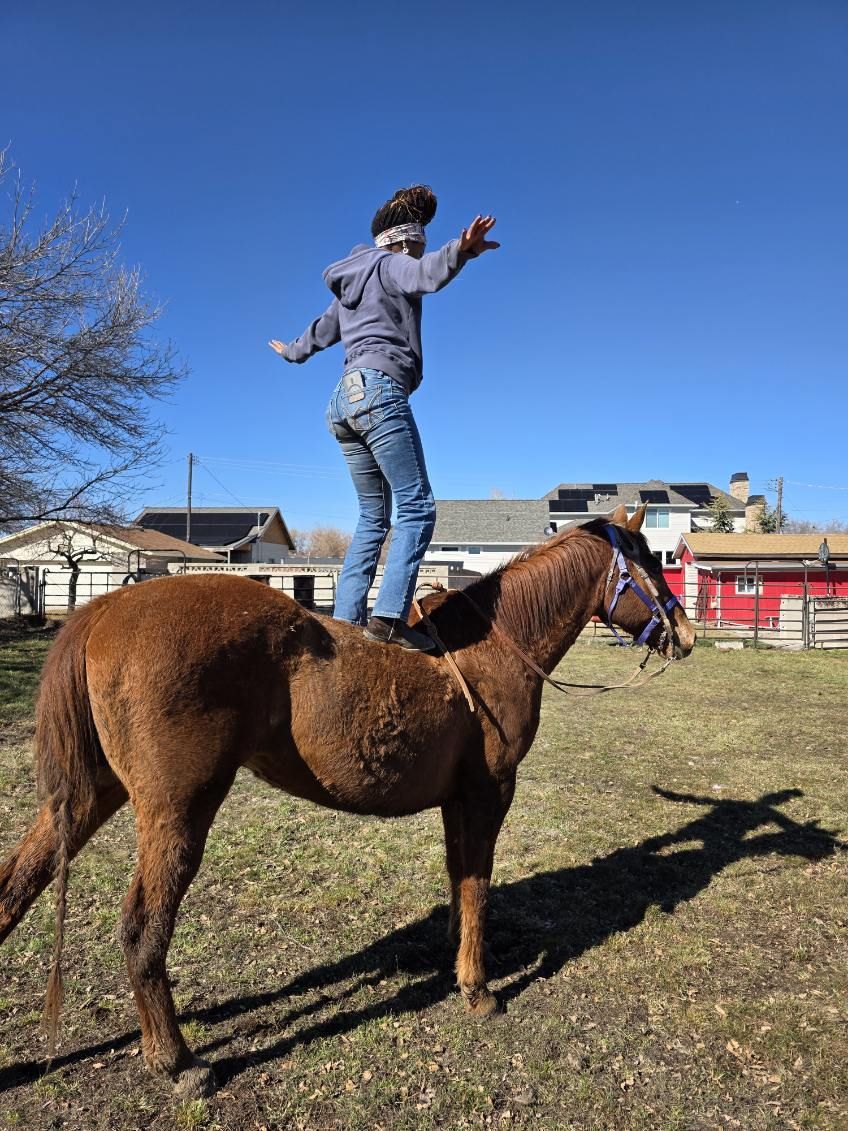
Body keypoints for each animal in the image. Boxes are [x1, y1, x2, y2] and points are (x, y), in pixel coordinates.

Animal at [0, 504, 695, 1098]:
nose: (685, 633)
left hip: (90, 794)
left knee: (16, 887)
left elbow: (458, 877)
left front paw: (460, 954)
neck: (494, 645)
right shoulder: (489, 791)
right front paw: (477, 989)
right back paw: (175, 1061)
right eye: (649, 563)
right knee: (143, 928)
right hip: (179, 808)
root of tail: (108, 607)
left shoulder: (457, 800)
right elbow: (477, 882)